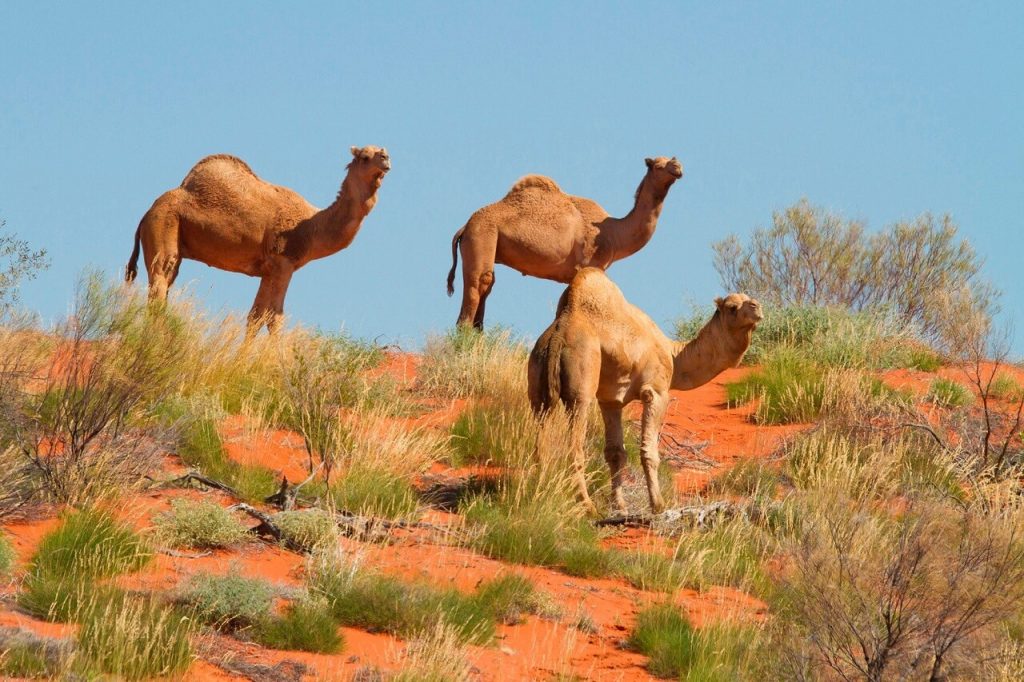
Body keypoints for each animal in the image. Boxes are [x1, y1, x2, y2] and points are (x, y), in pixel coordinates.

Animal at [123, 145, 387, 331]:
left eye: (381, 151)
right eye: (365, 156)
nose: (385, 157)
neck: (312, 225)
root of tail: (146, 213)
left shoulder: (268, 269)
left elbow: (255, 317)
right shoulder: (283, 263)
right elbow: (274, 318)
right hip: (163, 228)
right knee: (158, 285)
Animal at [446, 155, 679, 325]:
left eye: (671, 159)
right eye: (658, 165)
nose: (677, 166)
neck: (613, 231)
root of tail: (464, 227)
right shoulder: (588, 264)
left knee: (487, 287)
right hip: (481, 236)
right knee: (478, 286)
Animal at [528, 268, 761, 512]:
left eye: (748, 299)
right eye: (732, 307)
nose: (757, 306)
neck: (673, 354)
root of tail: (558, 333)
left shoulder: (611, 400)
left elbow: (615, 452)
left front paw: (619, 505)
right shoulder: (656, 392)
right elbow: (649, 451)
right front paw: (658, 504)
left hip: (537, 374)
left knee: (540, 439)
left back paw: (539, 494)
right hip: (581, 375)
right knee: (575, 442)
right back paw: (586, 505)